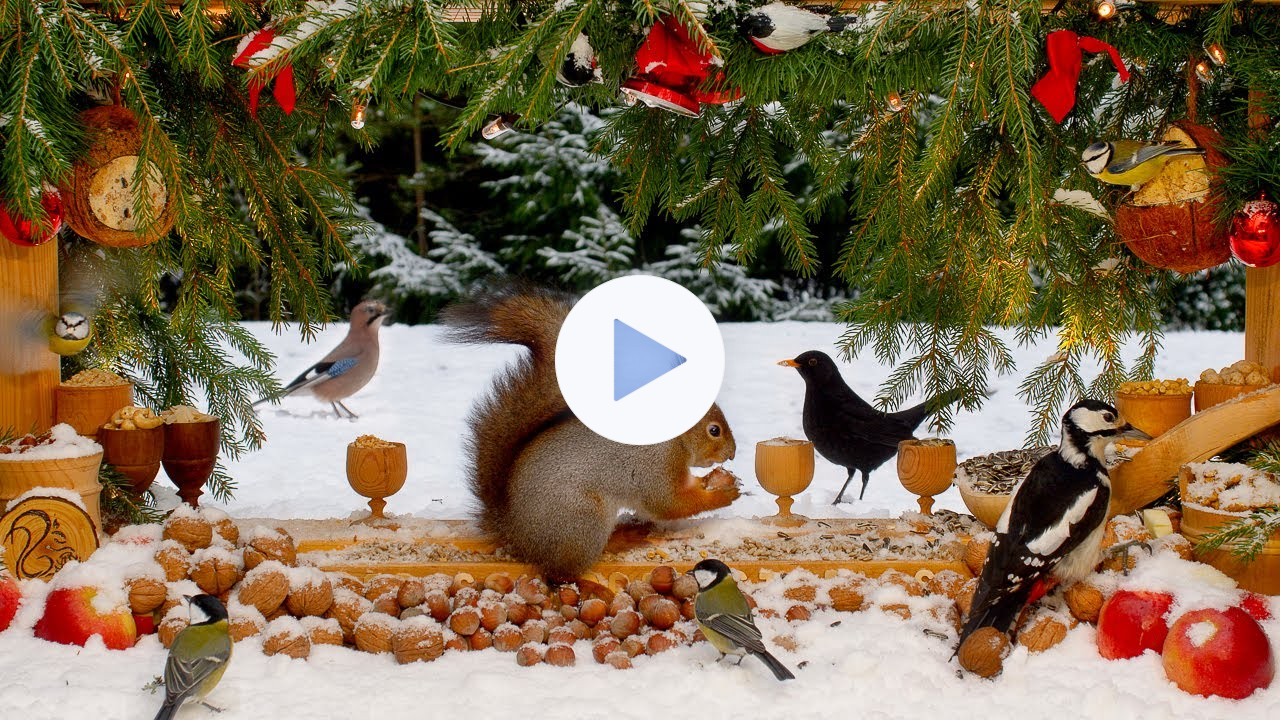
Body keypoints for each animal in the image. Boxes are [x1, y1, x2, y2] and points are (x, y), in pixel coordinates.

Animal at [442, 284, 741, 579]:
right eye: (714, 430)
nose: (733, 454)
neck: (674, 439)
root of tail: (516, 534)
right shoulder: (655, 466)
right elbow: (669, 503)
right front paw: (724, 495)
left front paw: (716, 480)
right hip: (584, 519)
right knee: (564, 571)